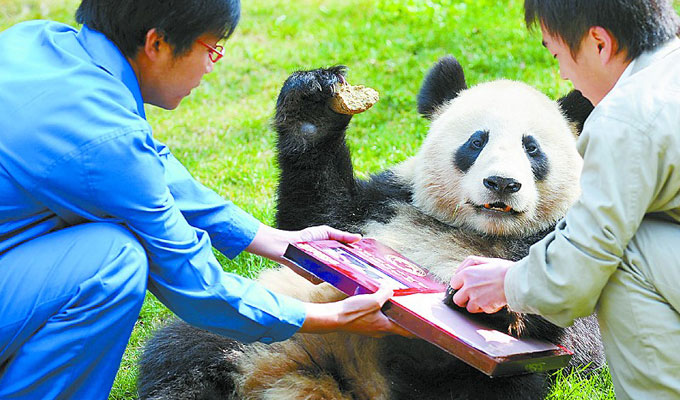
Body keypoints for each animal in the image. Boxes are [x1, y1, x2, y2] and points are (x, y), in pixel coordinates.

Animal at [138, 56, 604, 400]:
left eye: (532, 148)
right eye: (477, 142)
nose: (502, 183)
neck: (482, 230)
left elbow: (581, 331)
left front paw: (485, 297)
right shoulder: (386, 202)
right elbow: (317, 214)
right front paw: (314, 104)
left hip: (481, 370)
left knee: (484, 385)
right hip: (269, 320)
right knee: (186, 351)